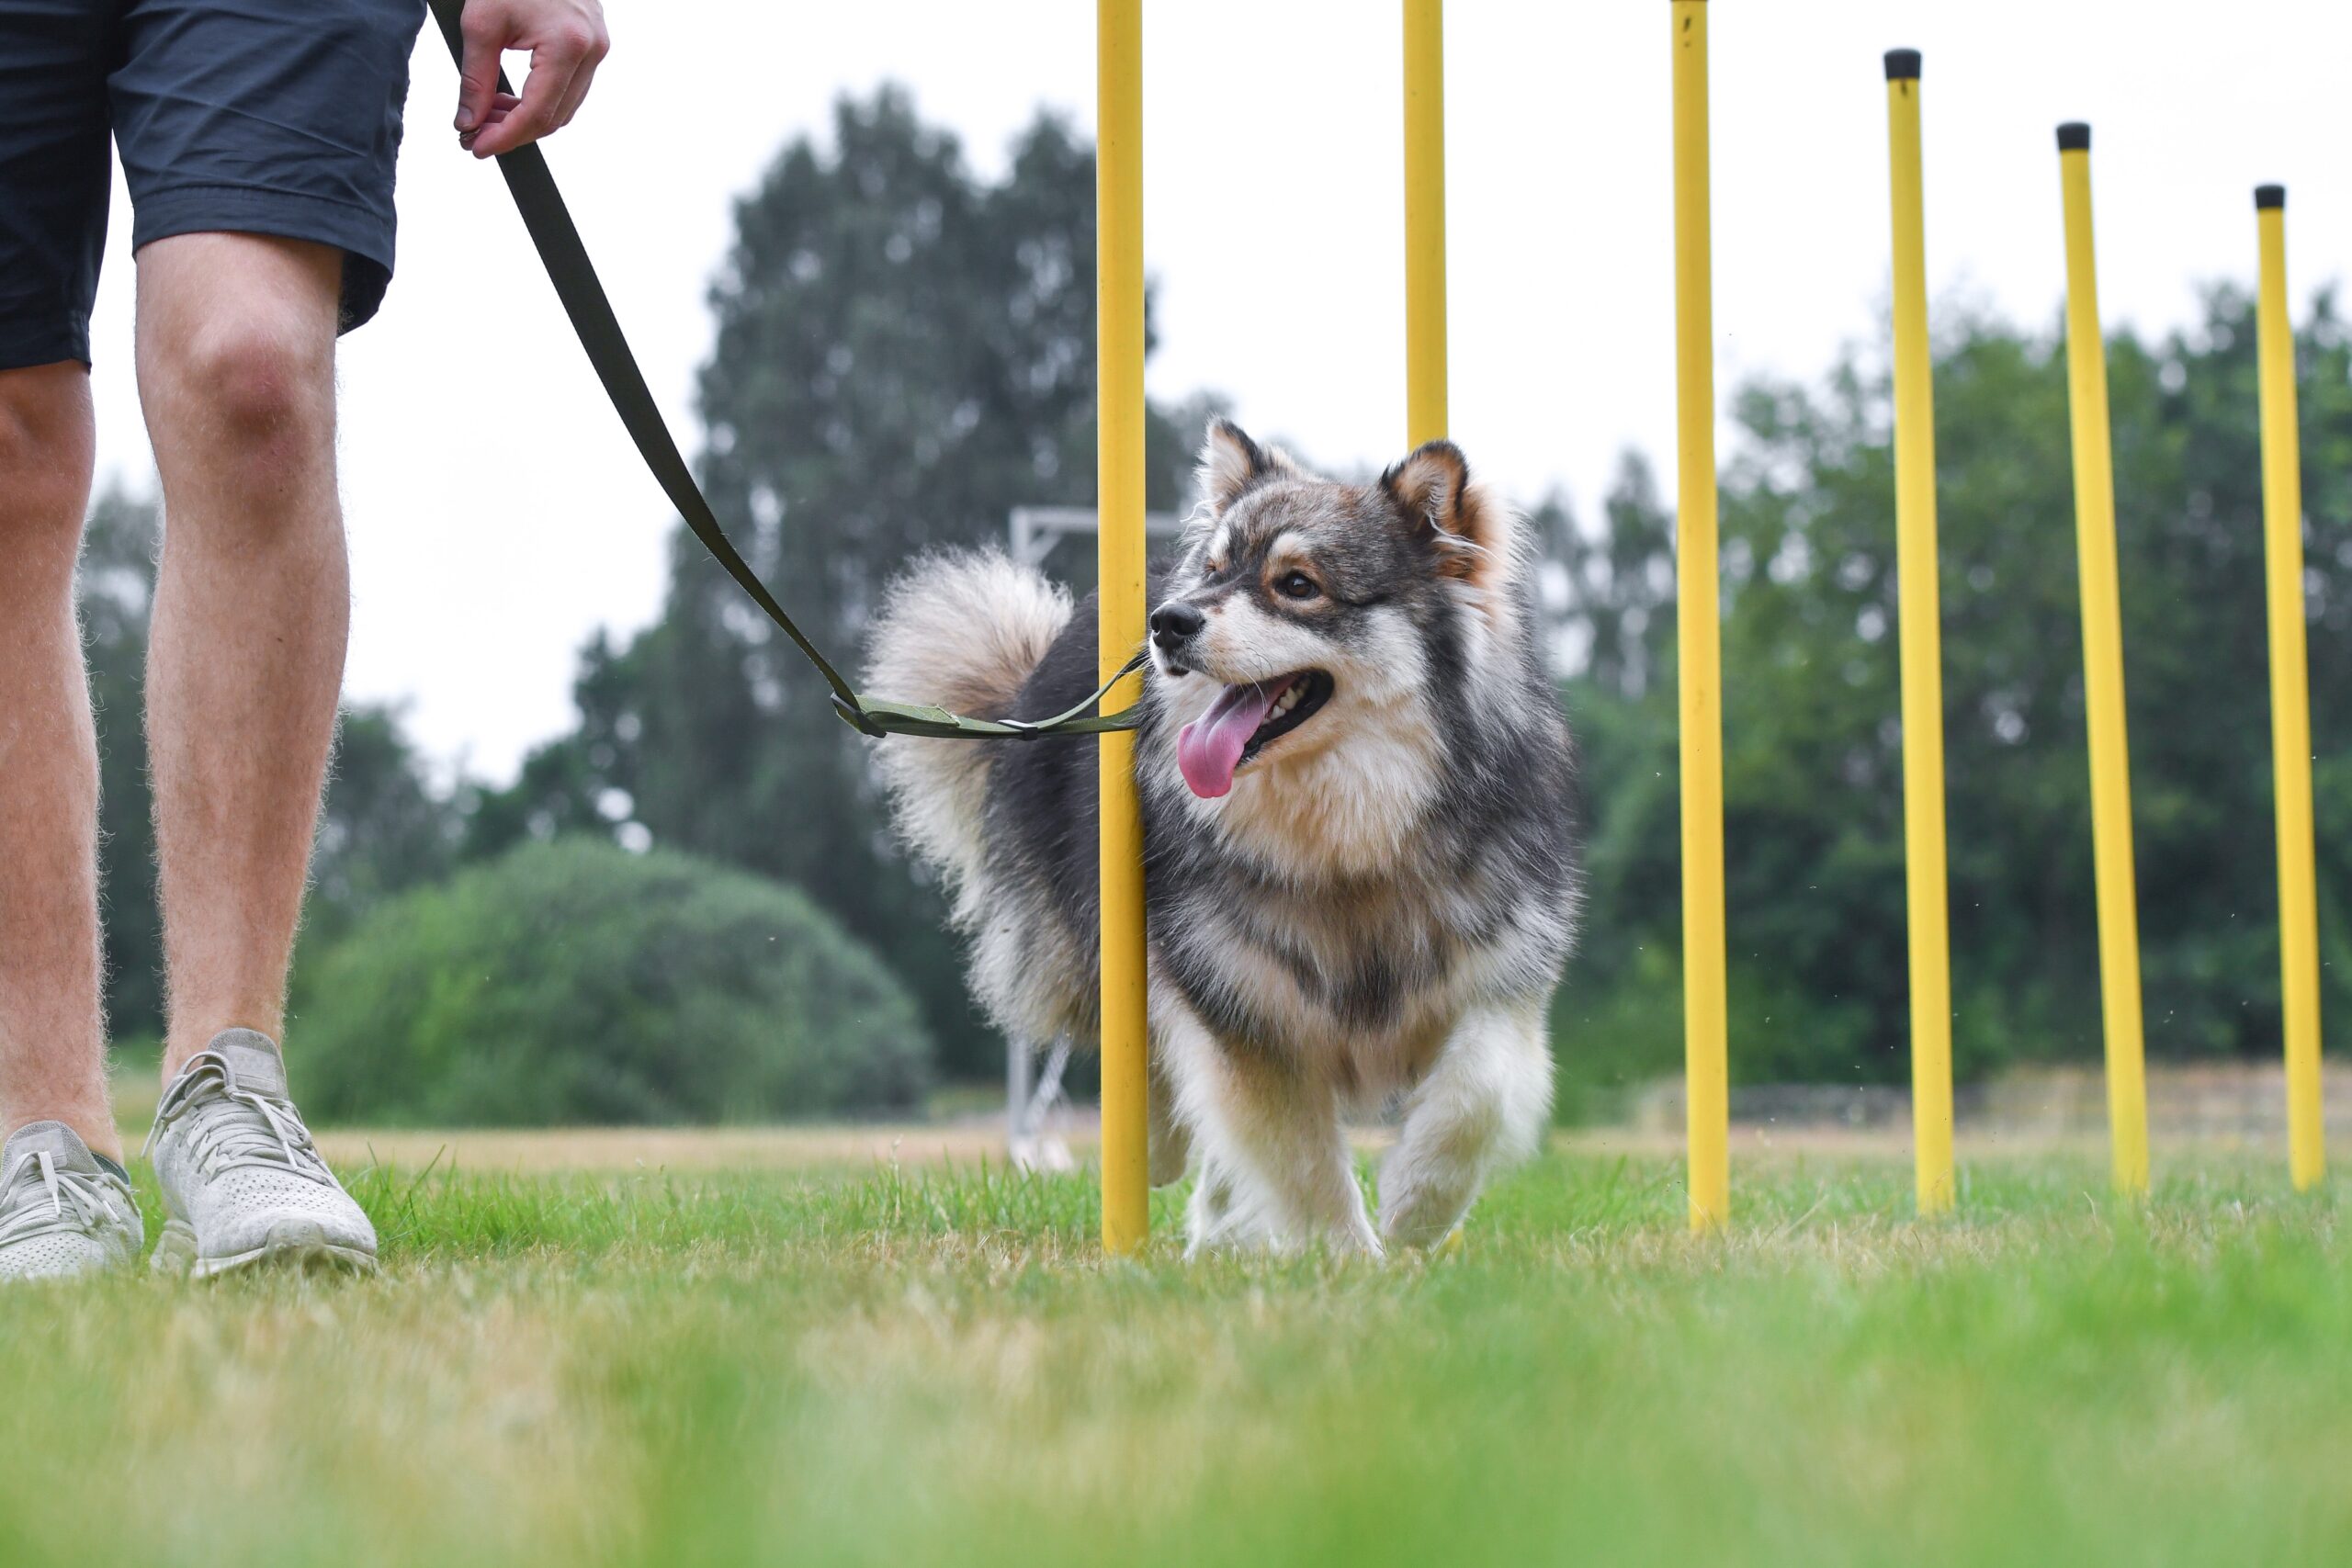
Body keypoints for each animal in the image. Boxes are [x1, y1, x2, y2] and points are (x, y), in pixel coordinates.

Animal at [870, 423, 1580, 1259]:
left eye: (1297, 583)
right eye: (1214, 571)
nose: (1168, 622)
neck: (1351, 843)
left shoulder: (1499, 979)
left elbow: (1477, 1094)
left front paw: (1417, 1205)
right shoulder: (1243, 1010)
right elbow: (1301, 1159)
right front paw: (1348, 1258)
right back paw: (1162, 1154)